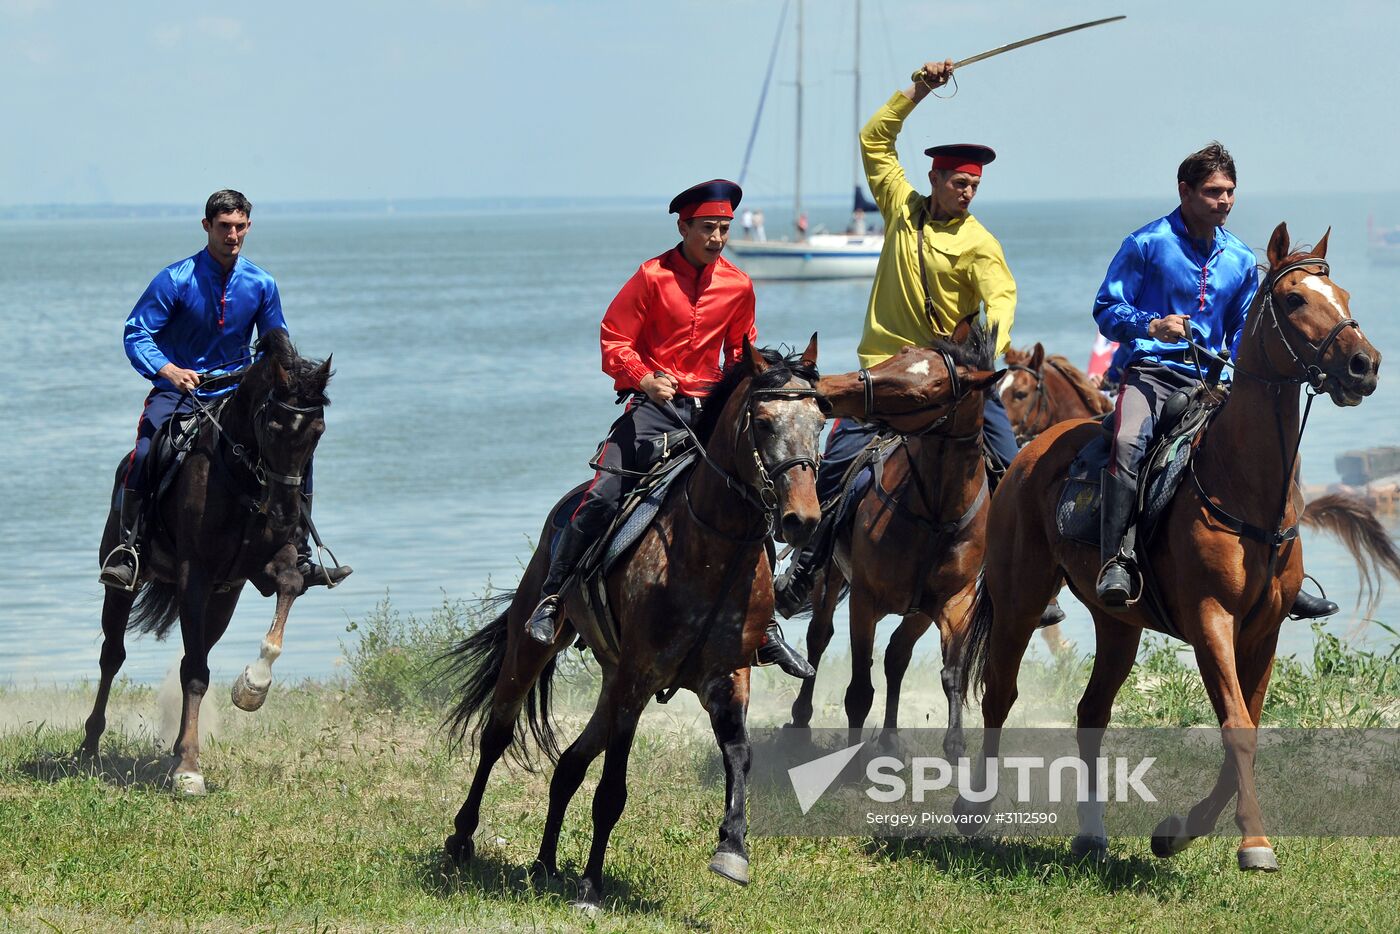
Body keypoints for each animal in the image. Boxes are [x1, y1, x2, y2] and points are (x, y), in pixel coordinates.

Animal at [442, 340, 823, 907]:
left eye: (820, 421)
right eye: (763, 422)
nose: (803, 520)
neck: (710, 549)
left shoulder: (727, 678)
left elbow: (740, 755)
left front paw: (732, 850)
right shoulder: (638, 679)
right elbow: (611, 792)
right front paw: (591, 887)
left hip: (611, 683)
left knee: (568, 764)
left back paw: (545, 864)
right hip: (537, 652)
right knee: (497, 735)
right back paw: (463, 838)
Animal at [789, 323, 996, 761]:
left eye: (922, 394)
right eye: (900, 354)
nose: (824, 390)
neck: (934, 513)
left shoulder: (952, 602)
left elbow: (949, 674)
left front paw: (955, 744)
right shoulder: (865, 599)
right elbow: (858, 691)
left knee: (896, 656)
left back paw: (890, 737)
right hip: (830, 577)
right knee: (818, 638)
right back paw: (799, 721)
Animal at [957, 224, 1383, 868]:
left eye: (1343, 293)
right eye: (1293, 300)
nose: (1364, 364)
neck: (1241, 484)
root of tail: (1025, 457)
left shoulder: (1263, 631)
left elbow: (1247, 729)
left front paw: (1180, 831)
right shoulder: (1211, 621)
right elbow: (1234, 726)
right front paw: (1252, 841)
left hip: (1117, 625)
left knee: (1091, 713)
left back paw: (1091, 834)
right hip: (1018, 603)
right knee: (999, 696)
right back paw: (974, 813)